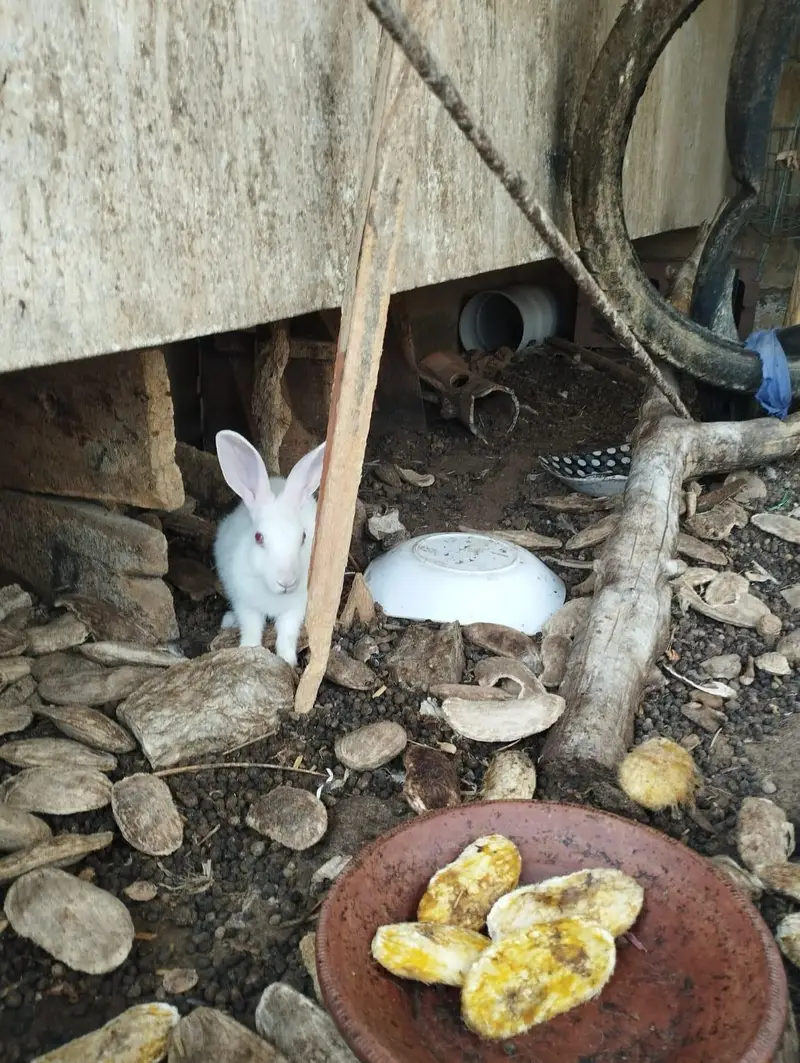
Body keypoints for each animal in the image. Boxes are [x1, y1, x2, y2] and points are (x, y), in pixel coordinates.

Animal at [213, 430, 326, 667]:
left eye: (303, 537)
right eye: (258, 537)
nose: (287, 582)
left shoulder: (295, 609)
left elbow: (287, 635)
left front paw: (288, 661)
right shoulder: (245, 603)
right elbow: (251, 628)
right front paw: (248, 649)